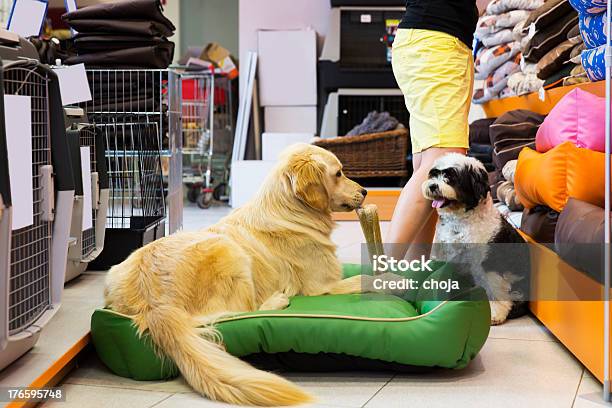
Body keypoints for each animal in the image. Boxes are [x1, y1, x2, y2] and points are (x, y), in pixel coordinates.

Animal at [104, 143, 368, 404]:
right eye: (338, 173)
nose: (365, 191)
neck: (292, 211)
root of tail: (154, 303)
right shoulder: (322, 286)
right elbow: (365, 278)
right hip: (231, 253)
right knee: (242, 312)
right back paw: (278, 300)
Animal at [424, 153, 528, 326]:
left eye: (451, 177)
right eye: (434, 174)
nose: (432, 186)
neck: (461, 221)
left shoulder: (489, 264)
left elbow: (494, 291)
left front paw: (495, 314)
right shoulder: (449, 256)